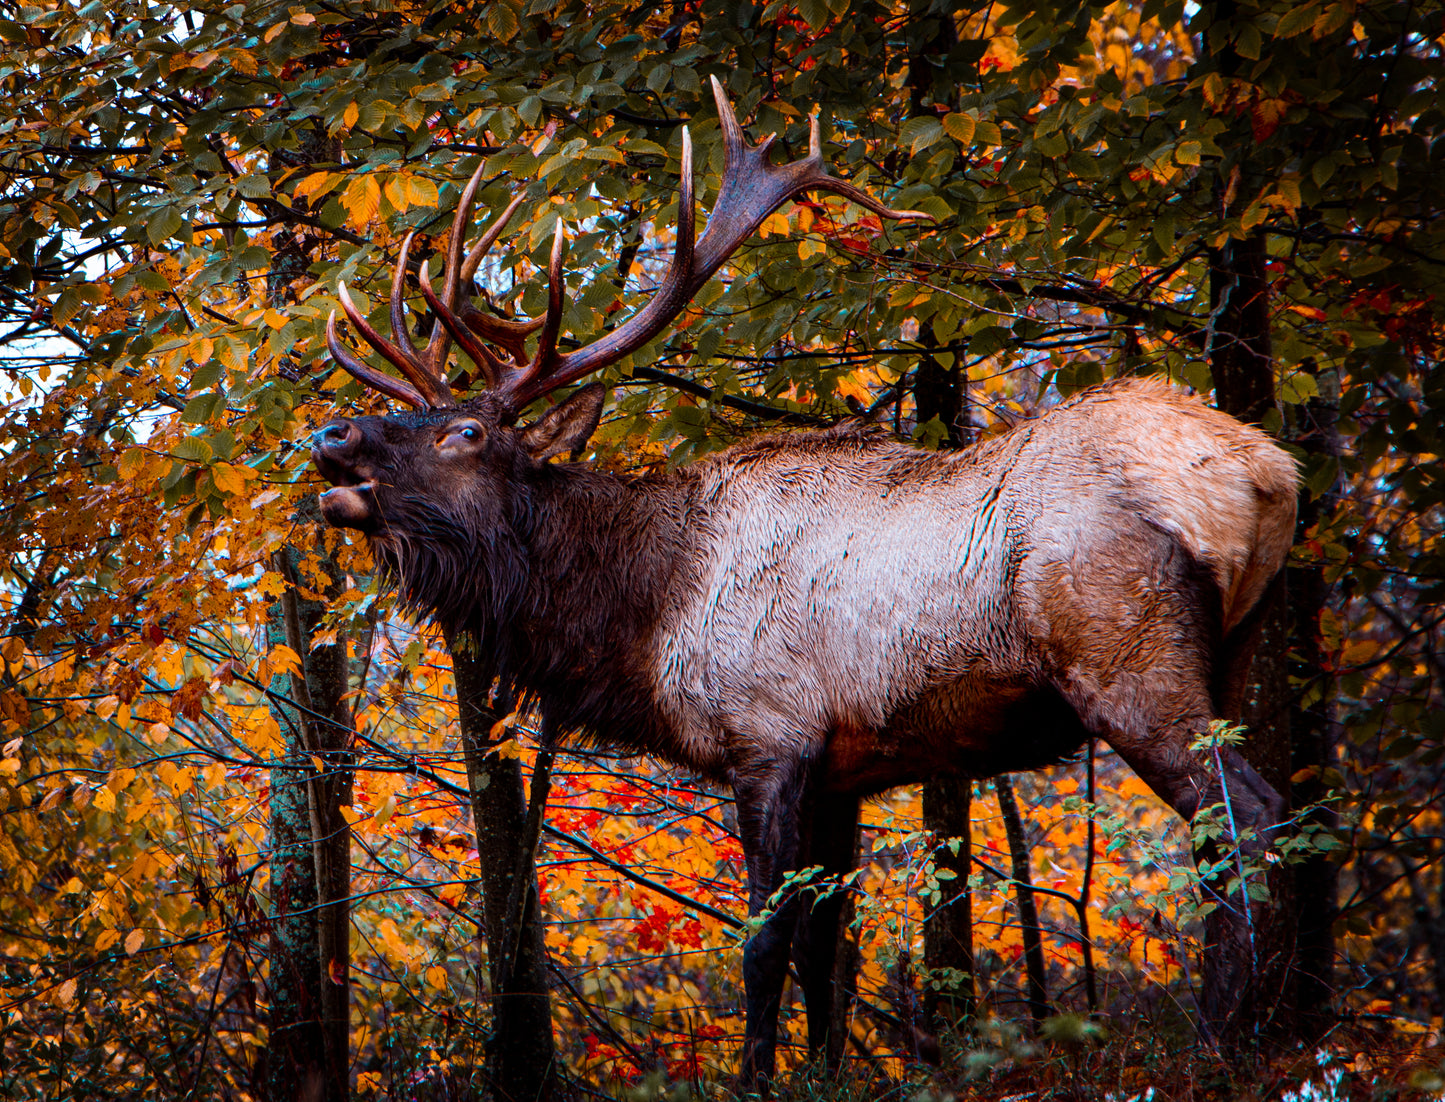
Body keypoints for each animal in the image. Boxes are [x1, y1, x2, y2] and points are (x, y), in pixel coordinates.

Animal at [307, 75, 1300, 1086]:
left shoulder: (767, 736)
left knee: (1244, 818)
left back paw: (1219, 1042)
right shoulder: (842, 772)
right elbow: (831, 949)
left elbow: (764, 941)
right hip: (1230, 650)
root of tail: (1267, 474)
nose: (328, 434)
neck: (640, 618)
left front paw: (754, 1078)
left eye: (464, 433)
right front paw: (825, 1071)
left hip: (1125, 657)